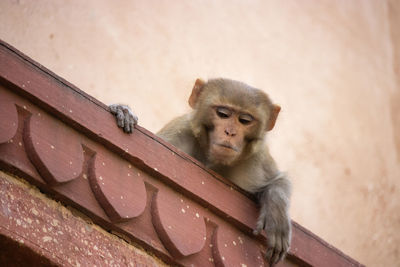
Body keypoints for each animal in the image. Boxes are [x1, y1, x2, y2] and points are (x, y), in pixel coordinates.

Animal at [109, 78, 290, 266]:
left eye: (245, 120)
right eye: (223, 114)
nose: (230, 132)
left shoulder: (257, 158)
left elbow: (278, 179)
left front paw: (276, 210)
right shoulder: (180, 131)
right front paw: (123, 111)